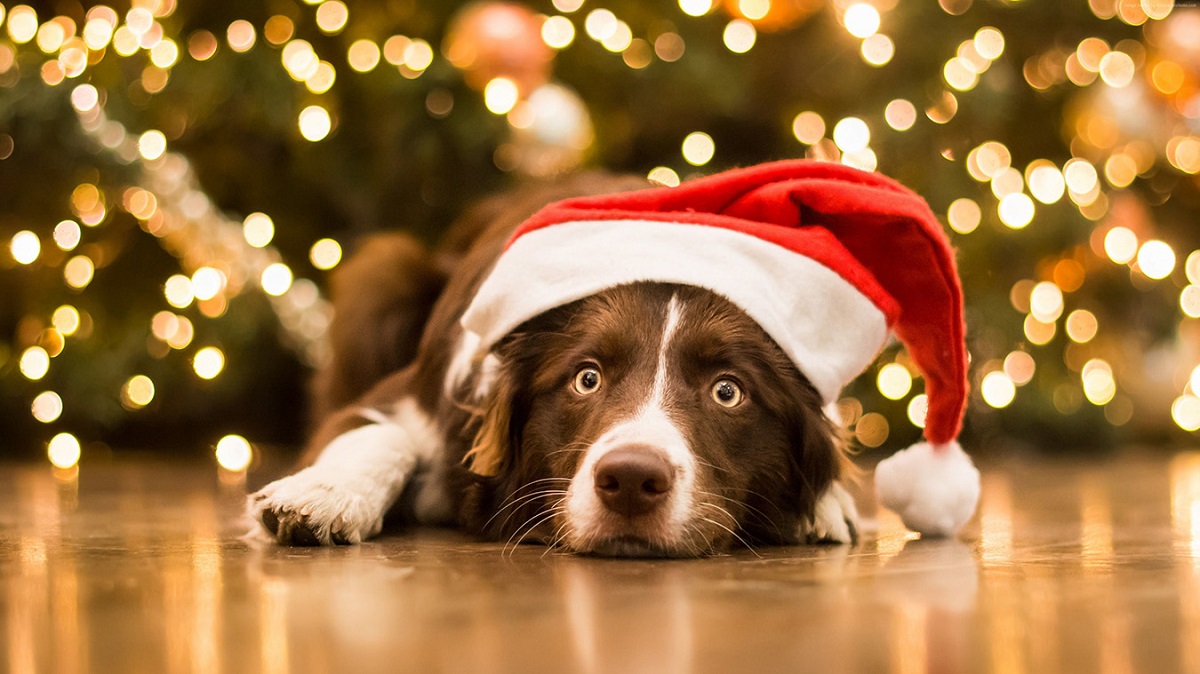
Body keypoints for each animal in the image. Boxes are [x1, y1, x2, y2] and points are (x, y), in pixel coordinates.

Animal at [246, 173, 864, 556]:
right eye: (586, 378)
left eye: (728, 391)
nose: (632, 479)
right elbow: (378, 432)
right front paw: (321, 495)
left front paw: (826, 505)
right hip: (384, 277)